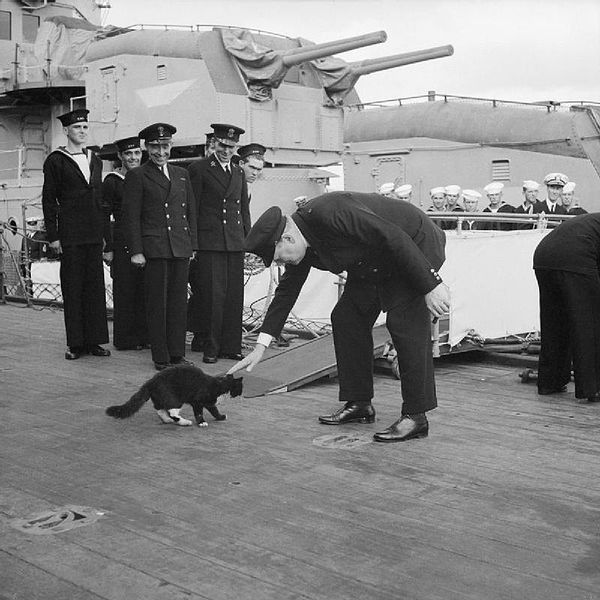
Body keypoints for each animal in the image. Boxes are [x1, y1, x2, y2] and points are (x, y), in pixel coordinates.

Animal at [106, 366, 244, 426]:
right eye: (241, 388)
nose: (242, 394)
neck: (220, 385)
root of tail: (151, 381)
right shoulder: (198, 401)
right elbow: (199, 413)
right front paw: (202, 423)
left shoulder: (209, 403)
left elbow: (215, 411)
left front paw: (221, 417)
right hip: (174, 398)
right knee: (172, 411)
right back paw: (184, 422)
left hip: (160, 398)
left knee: (160, 410)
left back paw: (167, 420)